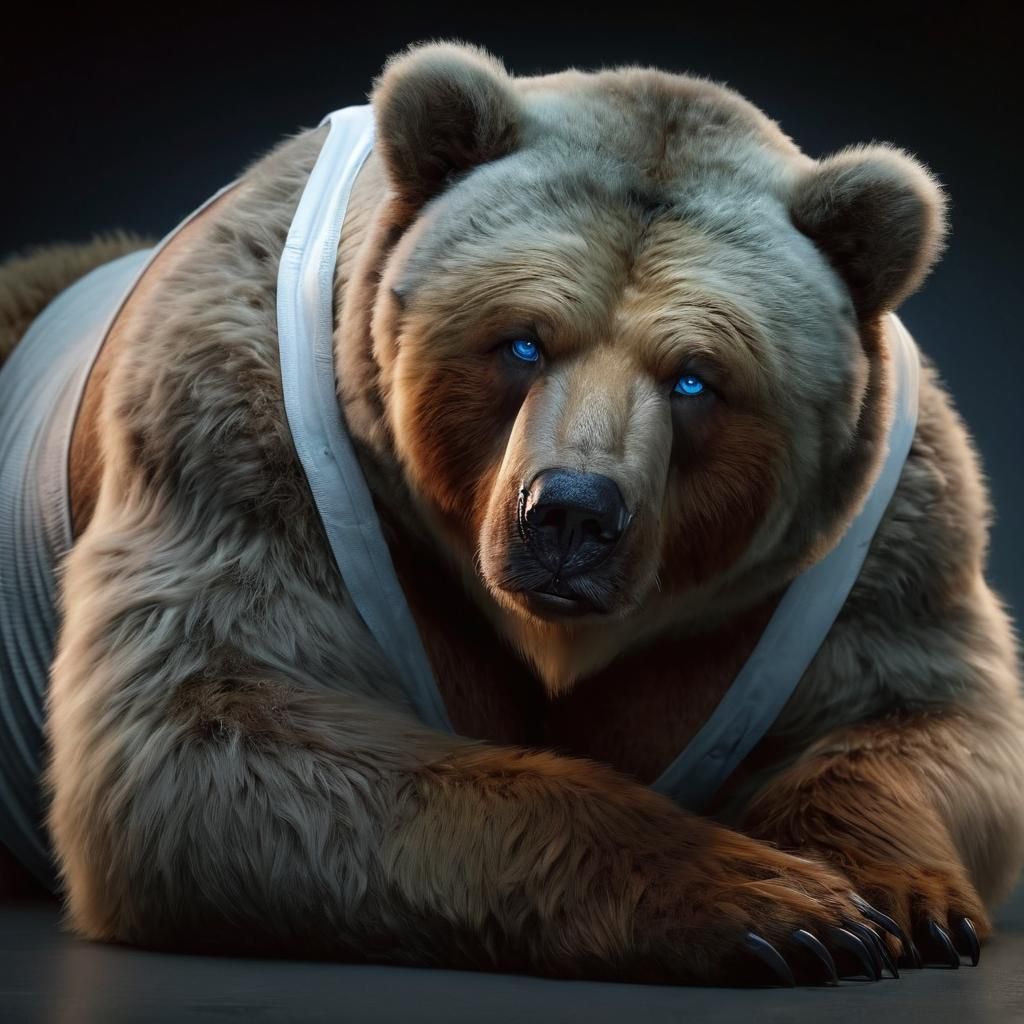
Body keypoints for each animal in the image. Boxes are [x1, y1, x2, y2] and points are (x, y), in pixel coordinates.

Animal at [0, 38, 1022, 987]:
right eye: (522, 341)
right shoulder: (243, 438)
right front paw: (774, 903)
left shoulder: (880, 537)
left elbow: (923, 720)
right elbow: (214, 739)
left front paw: (900, 903)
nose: (569, 514)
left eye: (696, 378)